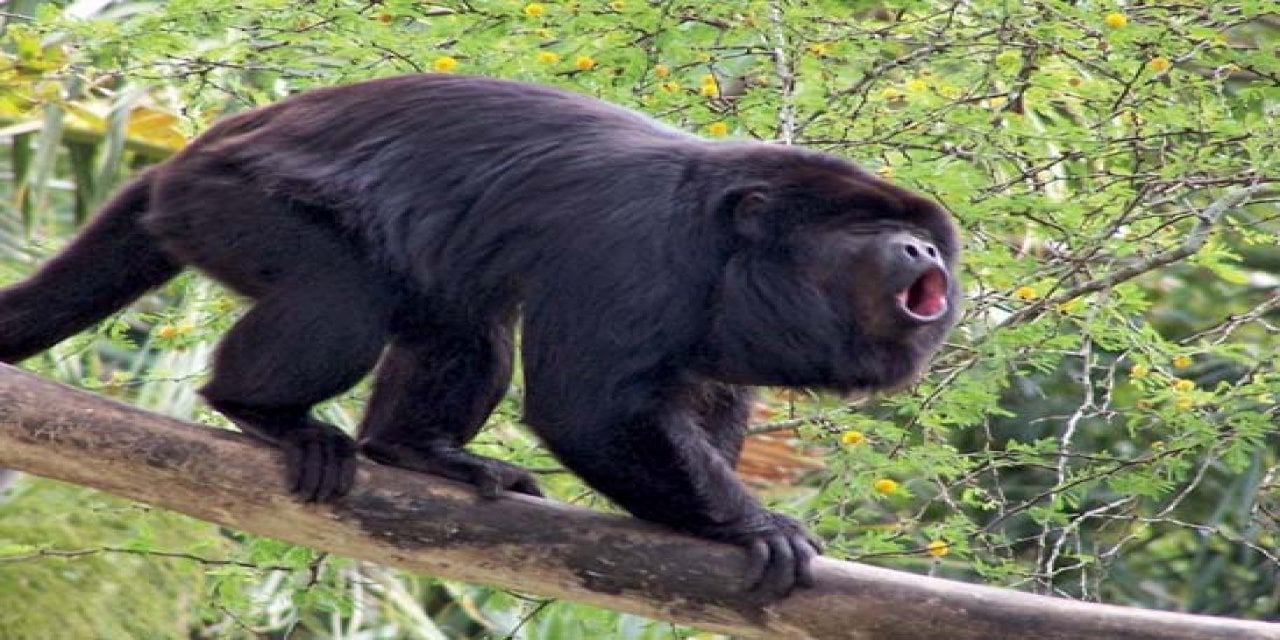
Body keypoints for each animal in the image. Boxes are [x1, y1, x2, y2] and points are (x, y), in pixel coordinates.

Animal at [0, 73, 962, 593]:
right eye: (871, 228)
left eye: (918, 233)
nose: (922, 247)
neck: (727, 240)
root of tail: (185, 159)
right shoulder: (635, 245)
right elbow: (586, 408)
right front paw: (753, 526)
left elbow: (707, 394)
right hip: (230, 207)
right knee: (342, 298)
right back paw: (263, 413)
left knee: (468, 323)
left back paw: (415, 450)